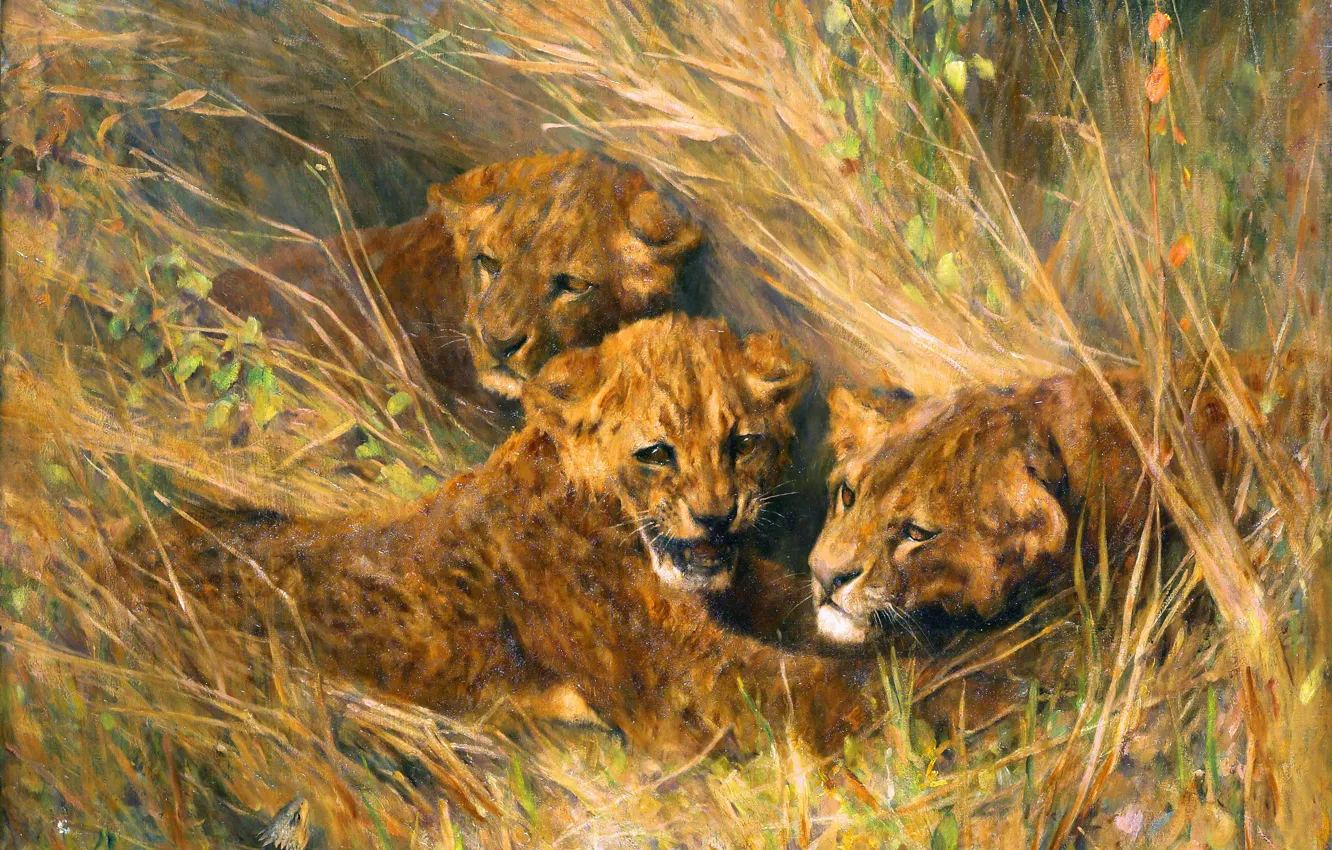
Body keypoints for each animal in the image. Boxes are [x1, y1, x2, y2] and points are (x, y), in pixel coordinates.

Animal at [139, 315, 868, 758]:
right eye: (656, 453)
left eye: (743, 442)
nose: (718, 517)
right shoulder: (683, 683)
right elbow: (823, 692)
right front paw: (897, 688)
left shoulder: (750, 593)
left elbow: (819, 619)